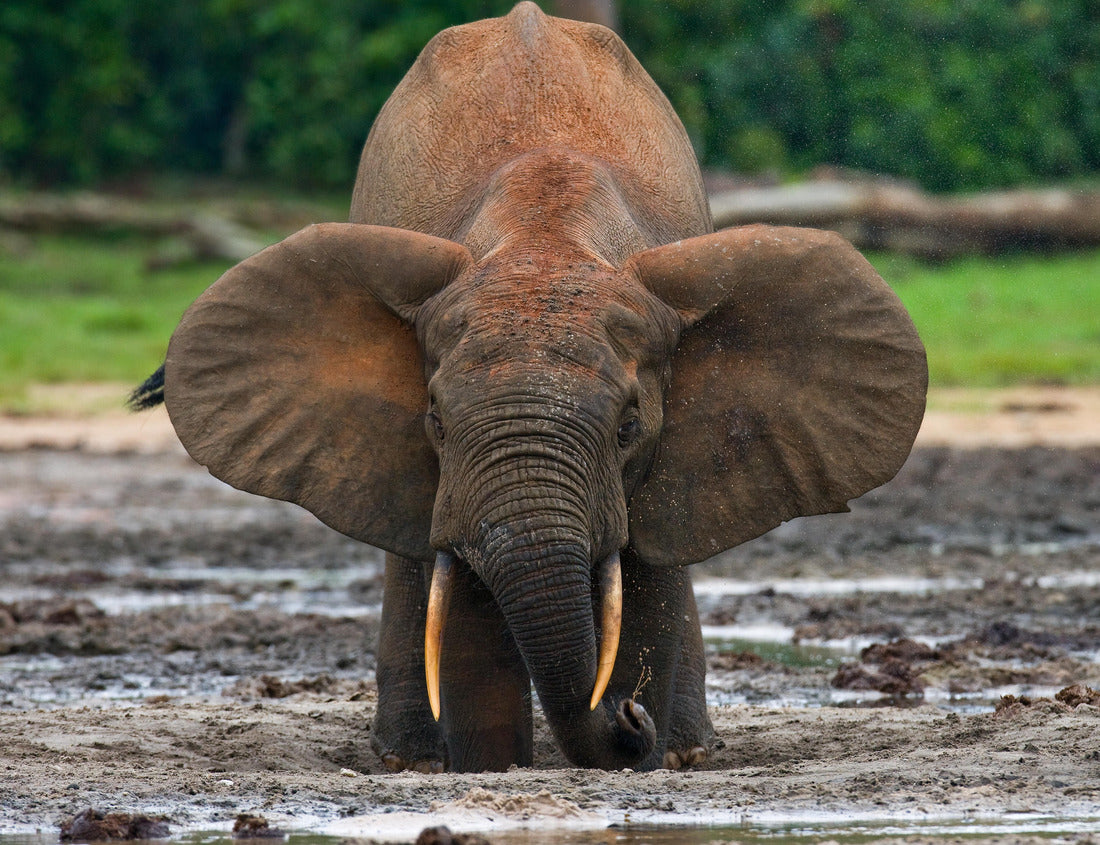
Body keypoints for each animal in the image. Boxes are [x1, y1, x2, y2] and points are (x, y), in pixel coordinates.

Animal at [131, 2, 927, 773]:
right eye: (435, 422)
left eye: (629, 427)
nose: (629, 714)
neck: (546, 238)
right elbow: (467, 616)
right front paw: (492, 769)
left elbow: (645, 583)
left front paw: (643, 744)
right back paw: (409, 761)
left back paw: (688, 751)